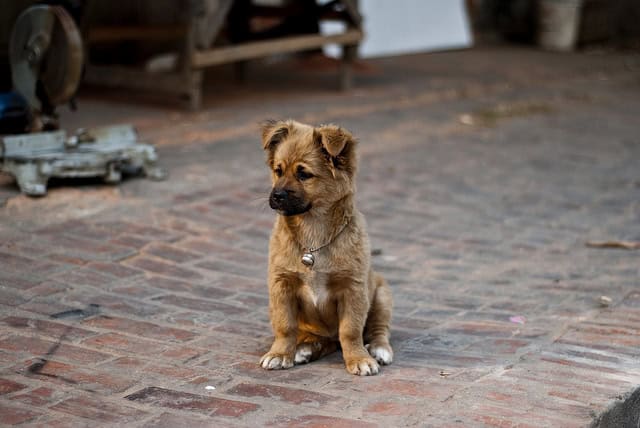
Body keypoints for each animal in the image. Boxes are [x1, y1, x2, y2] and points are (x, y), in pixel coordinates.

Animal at [258, 119, 390, 374]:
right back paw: (304, 349)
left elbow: (350, 331)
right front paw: (280, 354)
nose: (276, 196)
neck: (314, 236)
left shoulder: (353, 289)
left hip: (382, 294)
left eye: (304, 174)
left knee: (378, 329)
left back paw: (379, 349)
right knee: (318, 340)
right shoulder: (281, 285)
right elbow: (285, 326)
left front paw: (358, 358)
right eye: (278, 171)